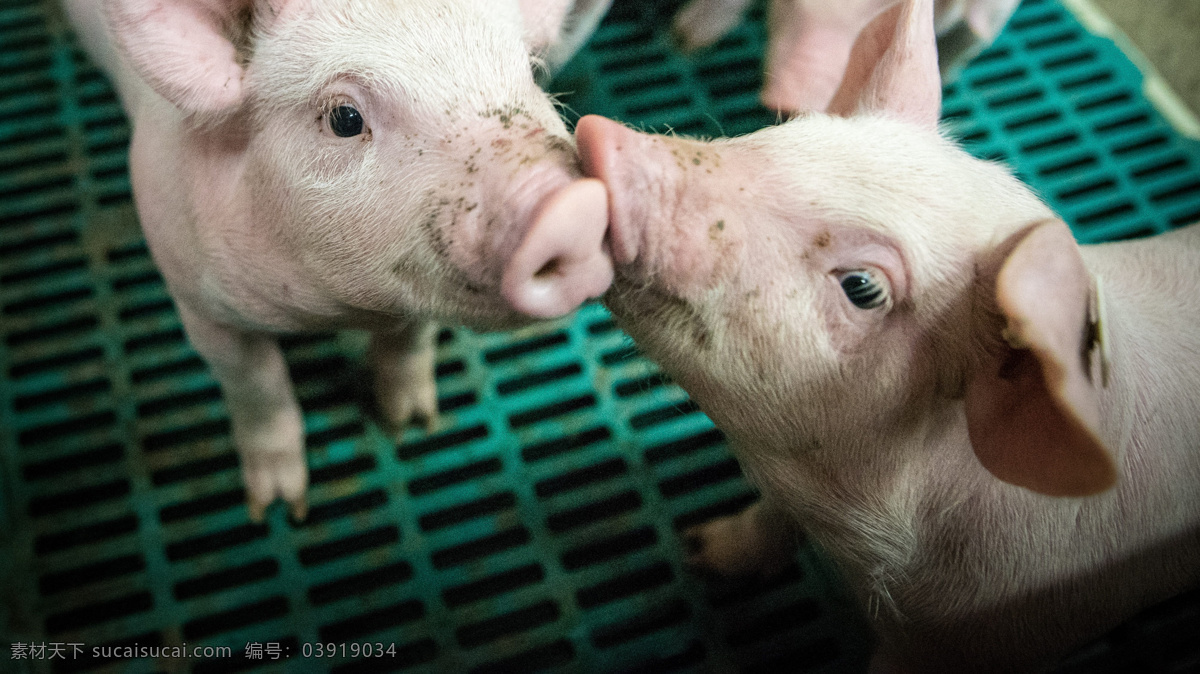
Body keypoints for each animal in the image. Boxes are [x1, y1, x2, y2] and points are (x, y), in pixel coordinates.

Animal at [58, 0, 609, 520]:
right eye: (345, 118)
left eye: (532, 72)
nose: (571, 205)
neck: (332, 309)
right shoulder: (198, 302)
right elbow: (256, 385)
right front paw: (279, 508)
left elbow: (410, 341)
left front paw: (413, 426)